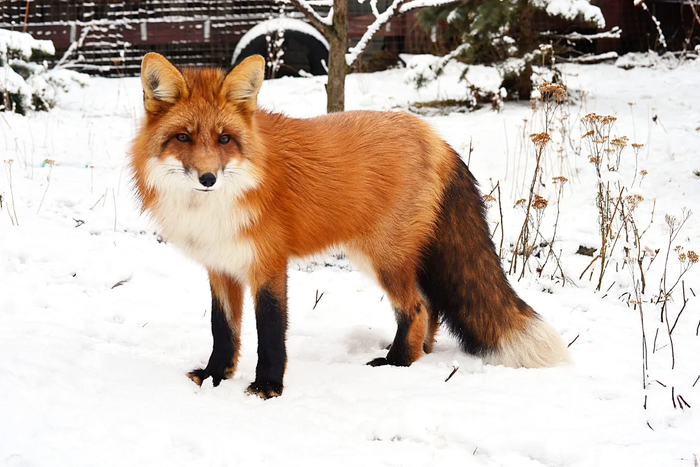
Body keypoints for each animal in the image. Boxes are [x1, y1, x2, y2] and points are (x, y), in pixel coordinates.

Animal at [130, 54, 568, 398]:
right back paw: (417, 355)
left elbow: (270, 331)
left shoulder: (268, 264)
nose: (208, 178)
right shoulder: (220, 266)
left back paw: (396, 362)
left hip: (383, 258)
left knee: (416, 308)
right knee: (430, 309)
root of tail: (434, 136)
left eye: (224, 140)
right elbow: (223, 330)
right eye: (183, 138)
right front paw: (214, 376)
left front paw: (268, 387)